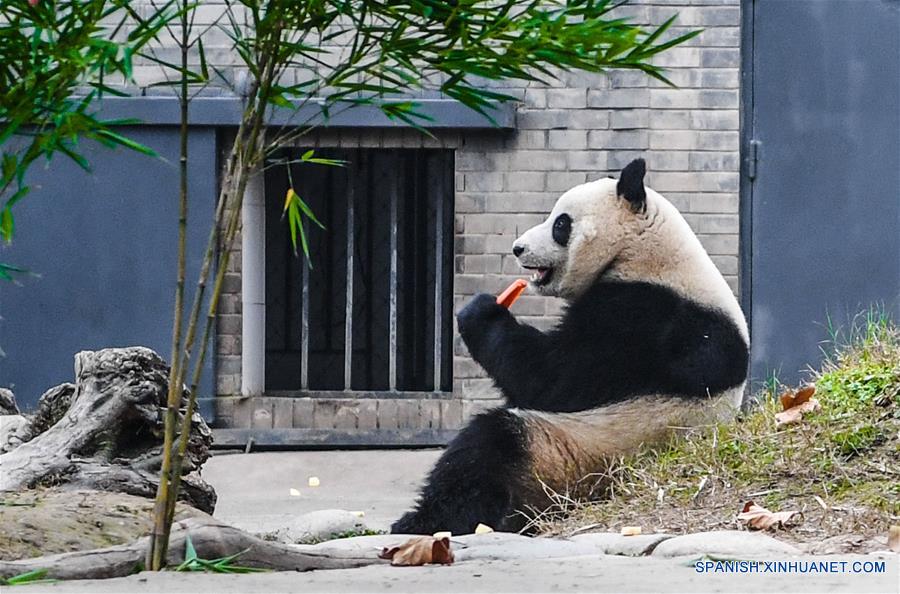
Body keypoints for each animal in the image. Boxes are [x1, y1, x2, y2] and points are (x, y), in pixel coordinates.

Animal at [390, 160, 748, 536]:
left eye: (561, 223)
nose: (518, 248)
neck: (644, 251)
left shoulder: (647, 315)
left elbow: (553, 380)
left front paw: (481, 311)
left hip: (575, 454)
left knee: (488, 446)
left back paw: (425, 520)